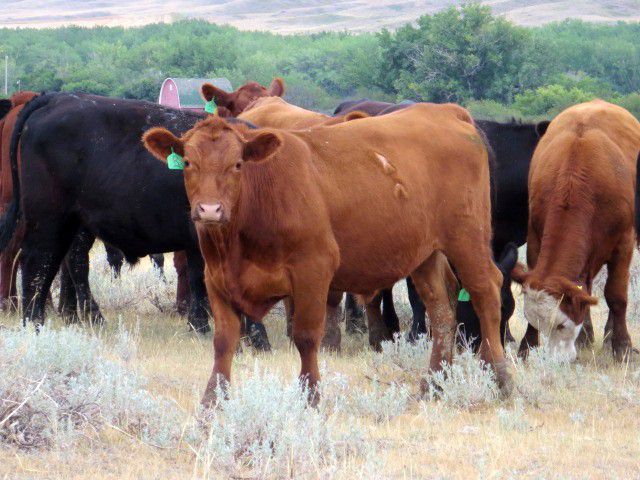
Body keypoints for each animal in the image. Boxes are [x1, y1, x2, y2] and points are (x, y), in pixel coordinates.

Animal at [143, 103, 513, 406]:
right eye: (188, 163)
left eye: (237, 164)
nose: (209, 210)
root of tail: (446, 111)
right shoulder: (217, 278)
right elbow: (223, 342)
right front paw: (212, 403)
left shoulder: (313, 270)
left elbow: (307, 337)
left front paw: (311, 397)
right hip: (426, 254)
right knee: (442, 309)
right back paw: (433, 385)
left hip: (468, 238)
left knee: (486, 292)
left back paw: (500, 378)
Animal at [512, 100, 640, 361]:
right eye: (538, 324)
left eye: (562, 325)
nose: (555, 361)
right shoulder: (535, 238)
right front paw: (527, 345)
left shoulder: (624, 242)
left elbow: (616, 296)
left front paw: (622, 346)